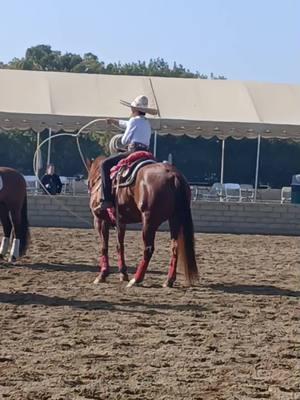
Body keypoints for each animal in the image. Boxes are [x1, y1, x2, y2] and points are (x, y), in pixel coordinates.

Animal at [87, 156, 199, 288]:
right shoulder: (121, 223)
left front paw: (102, 275)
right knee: (175, 247)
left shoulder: (100, 220)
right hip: (175, 219)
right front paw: (123, 273)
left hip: (148, 221)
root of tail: (173, 175)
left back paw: (136, 279)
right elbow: (120, 246)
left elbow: (104, 247)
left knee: (148, 249)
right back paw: (168, 280)